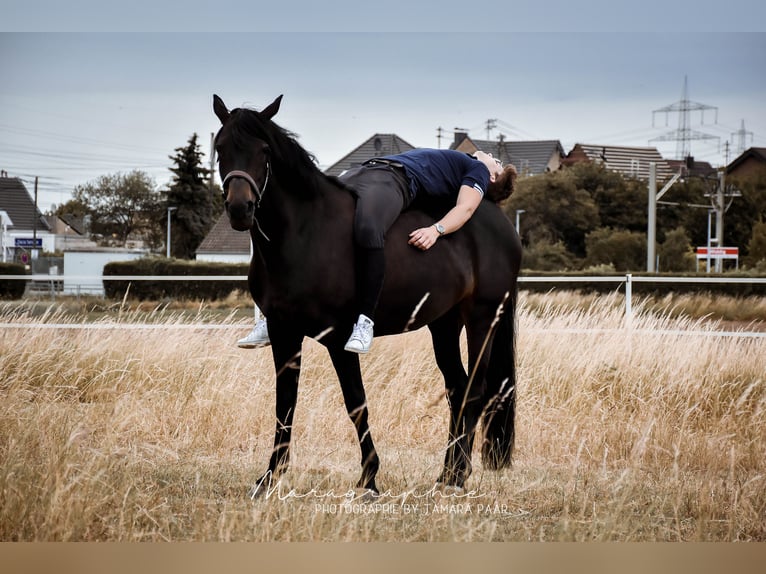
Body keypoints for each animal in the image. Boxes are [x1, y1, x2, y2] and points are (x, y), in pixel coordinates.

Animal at [213, 95, 520, 500]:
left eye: (264, 150)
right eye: (220, 148)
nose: (239, 209)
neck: (304, 233)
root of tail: (502, 224)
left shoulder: (336, 338)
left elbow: (356, 404)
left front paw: (369, 479)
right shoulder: (284, 332)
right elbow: (285, 404)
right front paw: (269, 478)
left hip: (483, 319)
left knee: (474, 392)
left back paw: (456, 477)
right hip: (443, 324)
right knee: (457, 389)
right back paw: (447, 473)